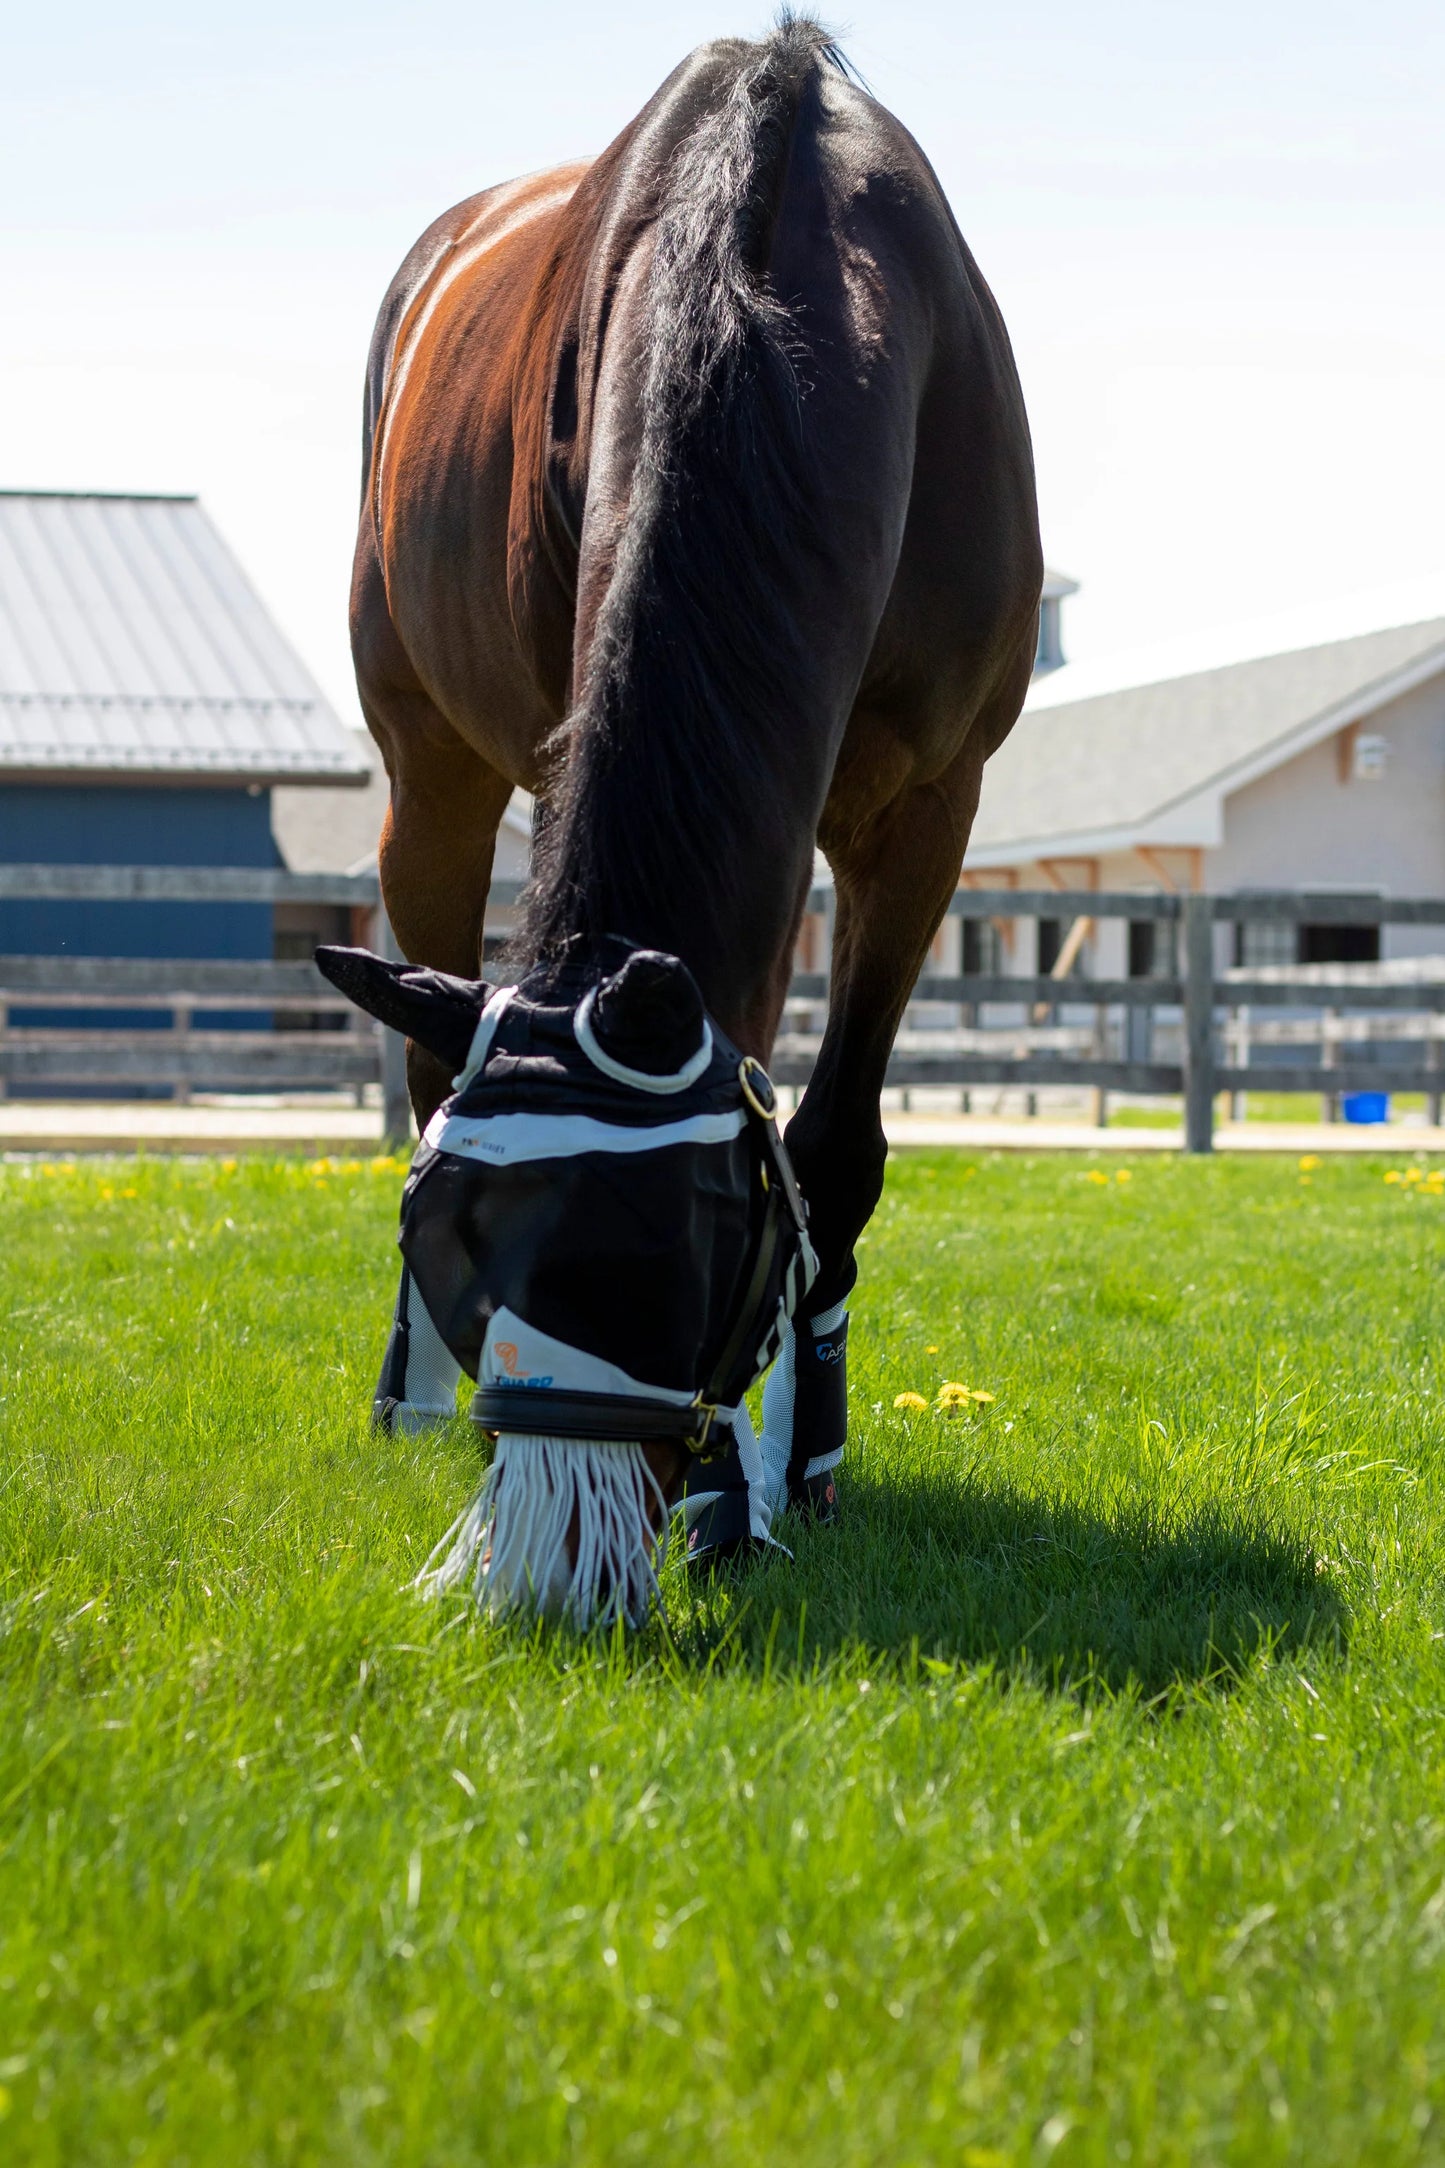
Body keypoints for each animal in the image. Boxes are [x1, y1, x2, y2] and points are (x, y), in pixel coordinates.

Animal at [336, 17, 1042, 1623]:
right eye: (450, 1245)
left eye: (677, 1260)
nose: (553, 1575)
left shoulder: (928, 809)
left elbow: (832, 1145)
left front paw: (801, 1468)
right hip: (432, 770)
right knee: (425, 1044)